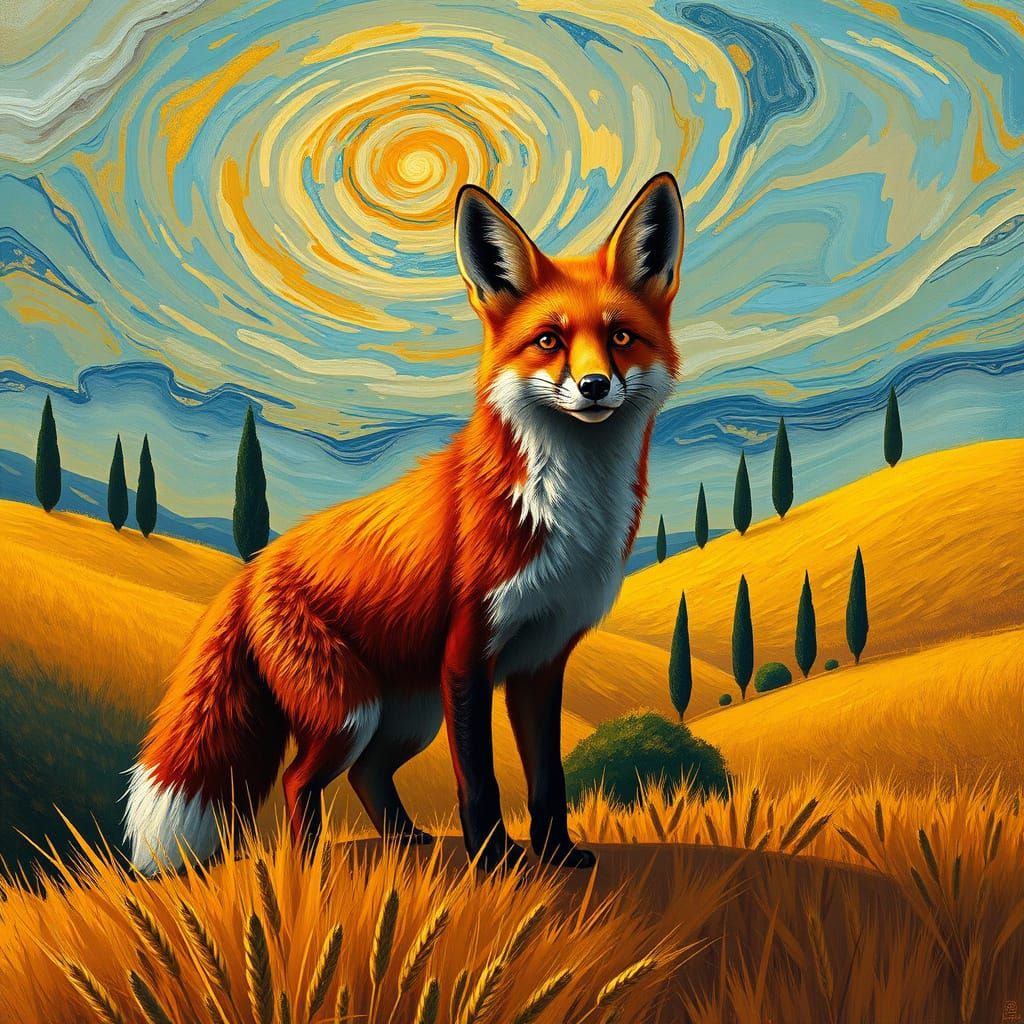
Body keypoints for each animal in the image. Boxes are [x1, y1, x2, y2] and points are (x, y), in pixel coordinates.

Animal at [124, 172, 684, 874]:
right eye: (549, 341)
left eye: (620, 338)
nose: (593, 385)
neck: (566, 512)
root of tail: (252, 570)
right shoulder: (468, 653)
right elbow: (480, 780)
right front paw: (494, 861)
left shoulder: (541, 661)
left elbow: (547, 778)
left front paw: (555, 854)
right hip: (350, 711)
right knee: (299, 781)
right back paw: (310, 868)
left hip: (406, 716)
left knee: (366, 774)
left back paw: (404, 840)